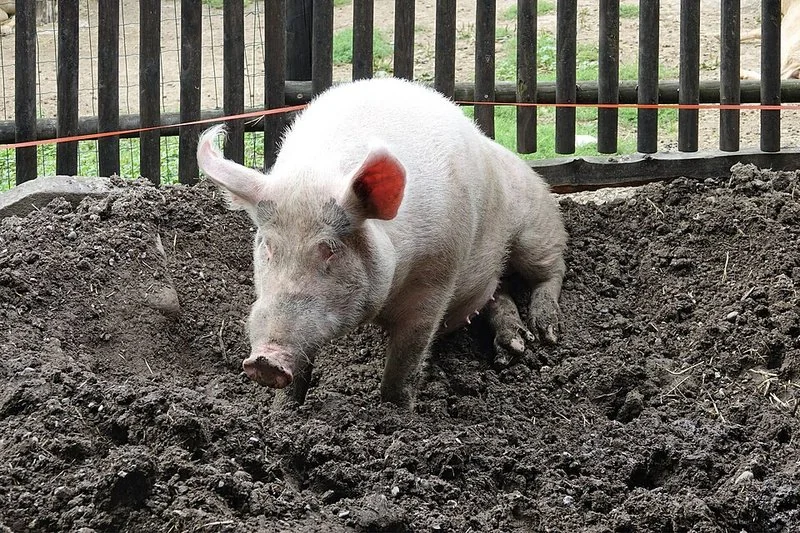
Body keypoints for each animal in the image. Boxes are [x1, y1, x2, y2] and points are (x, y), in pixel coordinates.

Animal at [196, 77, 567, 409]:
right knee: (499, 293)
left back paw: (546, 333)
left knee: (553, 269)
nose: (264, 361)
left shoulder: (436, 279)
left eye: (330, 248)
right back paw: (515, 346)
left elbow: (406, 361)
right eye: (268, 245)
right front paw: (282, 414)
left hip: (535, 226)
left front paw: (395, 414)